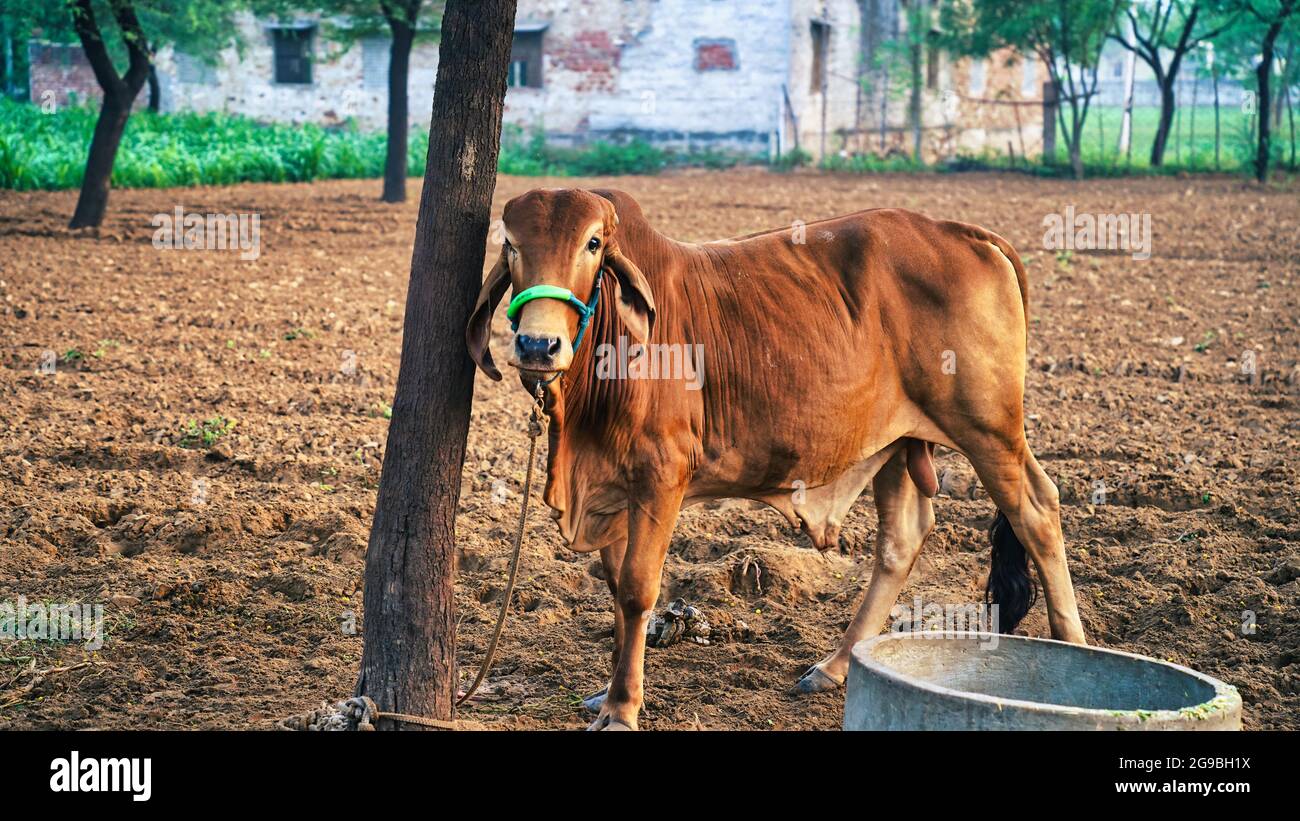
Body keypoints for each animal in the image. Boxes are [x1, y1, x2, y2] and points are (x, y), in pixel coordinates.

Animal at [467, 187, 1086, 732]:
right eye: (511, 244)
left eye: (593, 243)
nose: (537, 346)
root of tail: (965, 232)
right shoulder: (615, 486)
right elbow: (617, 588)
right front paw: (606, 693)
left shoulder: (661, 474)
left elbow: (640, 590)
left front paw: (622, 708)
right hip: (896, 443)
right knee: (903, 538)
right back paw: (835, 666)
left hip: (988, 428)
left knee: (1038, 512)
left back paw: (1075, 652)